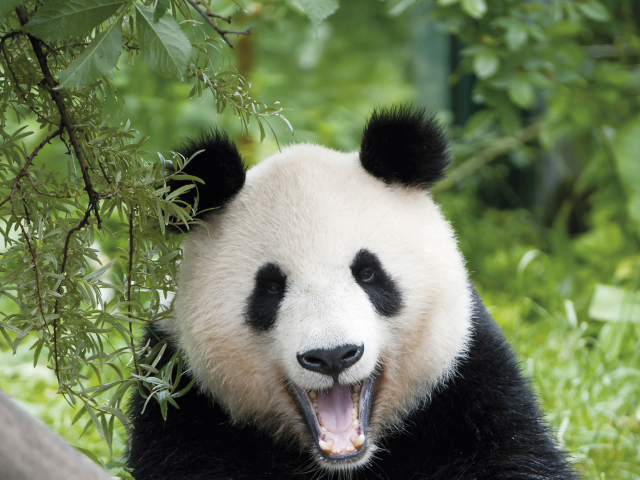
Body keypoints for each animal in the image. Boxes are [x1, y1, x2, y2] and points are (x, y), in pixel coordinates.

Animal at [127, 106, 579, 480]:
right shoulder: (179, 396)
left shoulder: (465, 379)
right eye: (270, 288)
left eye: (368, 274)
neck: (344, 464)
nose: (332, 356)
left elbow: (510, 452)